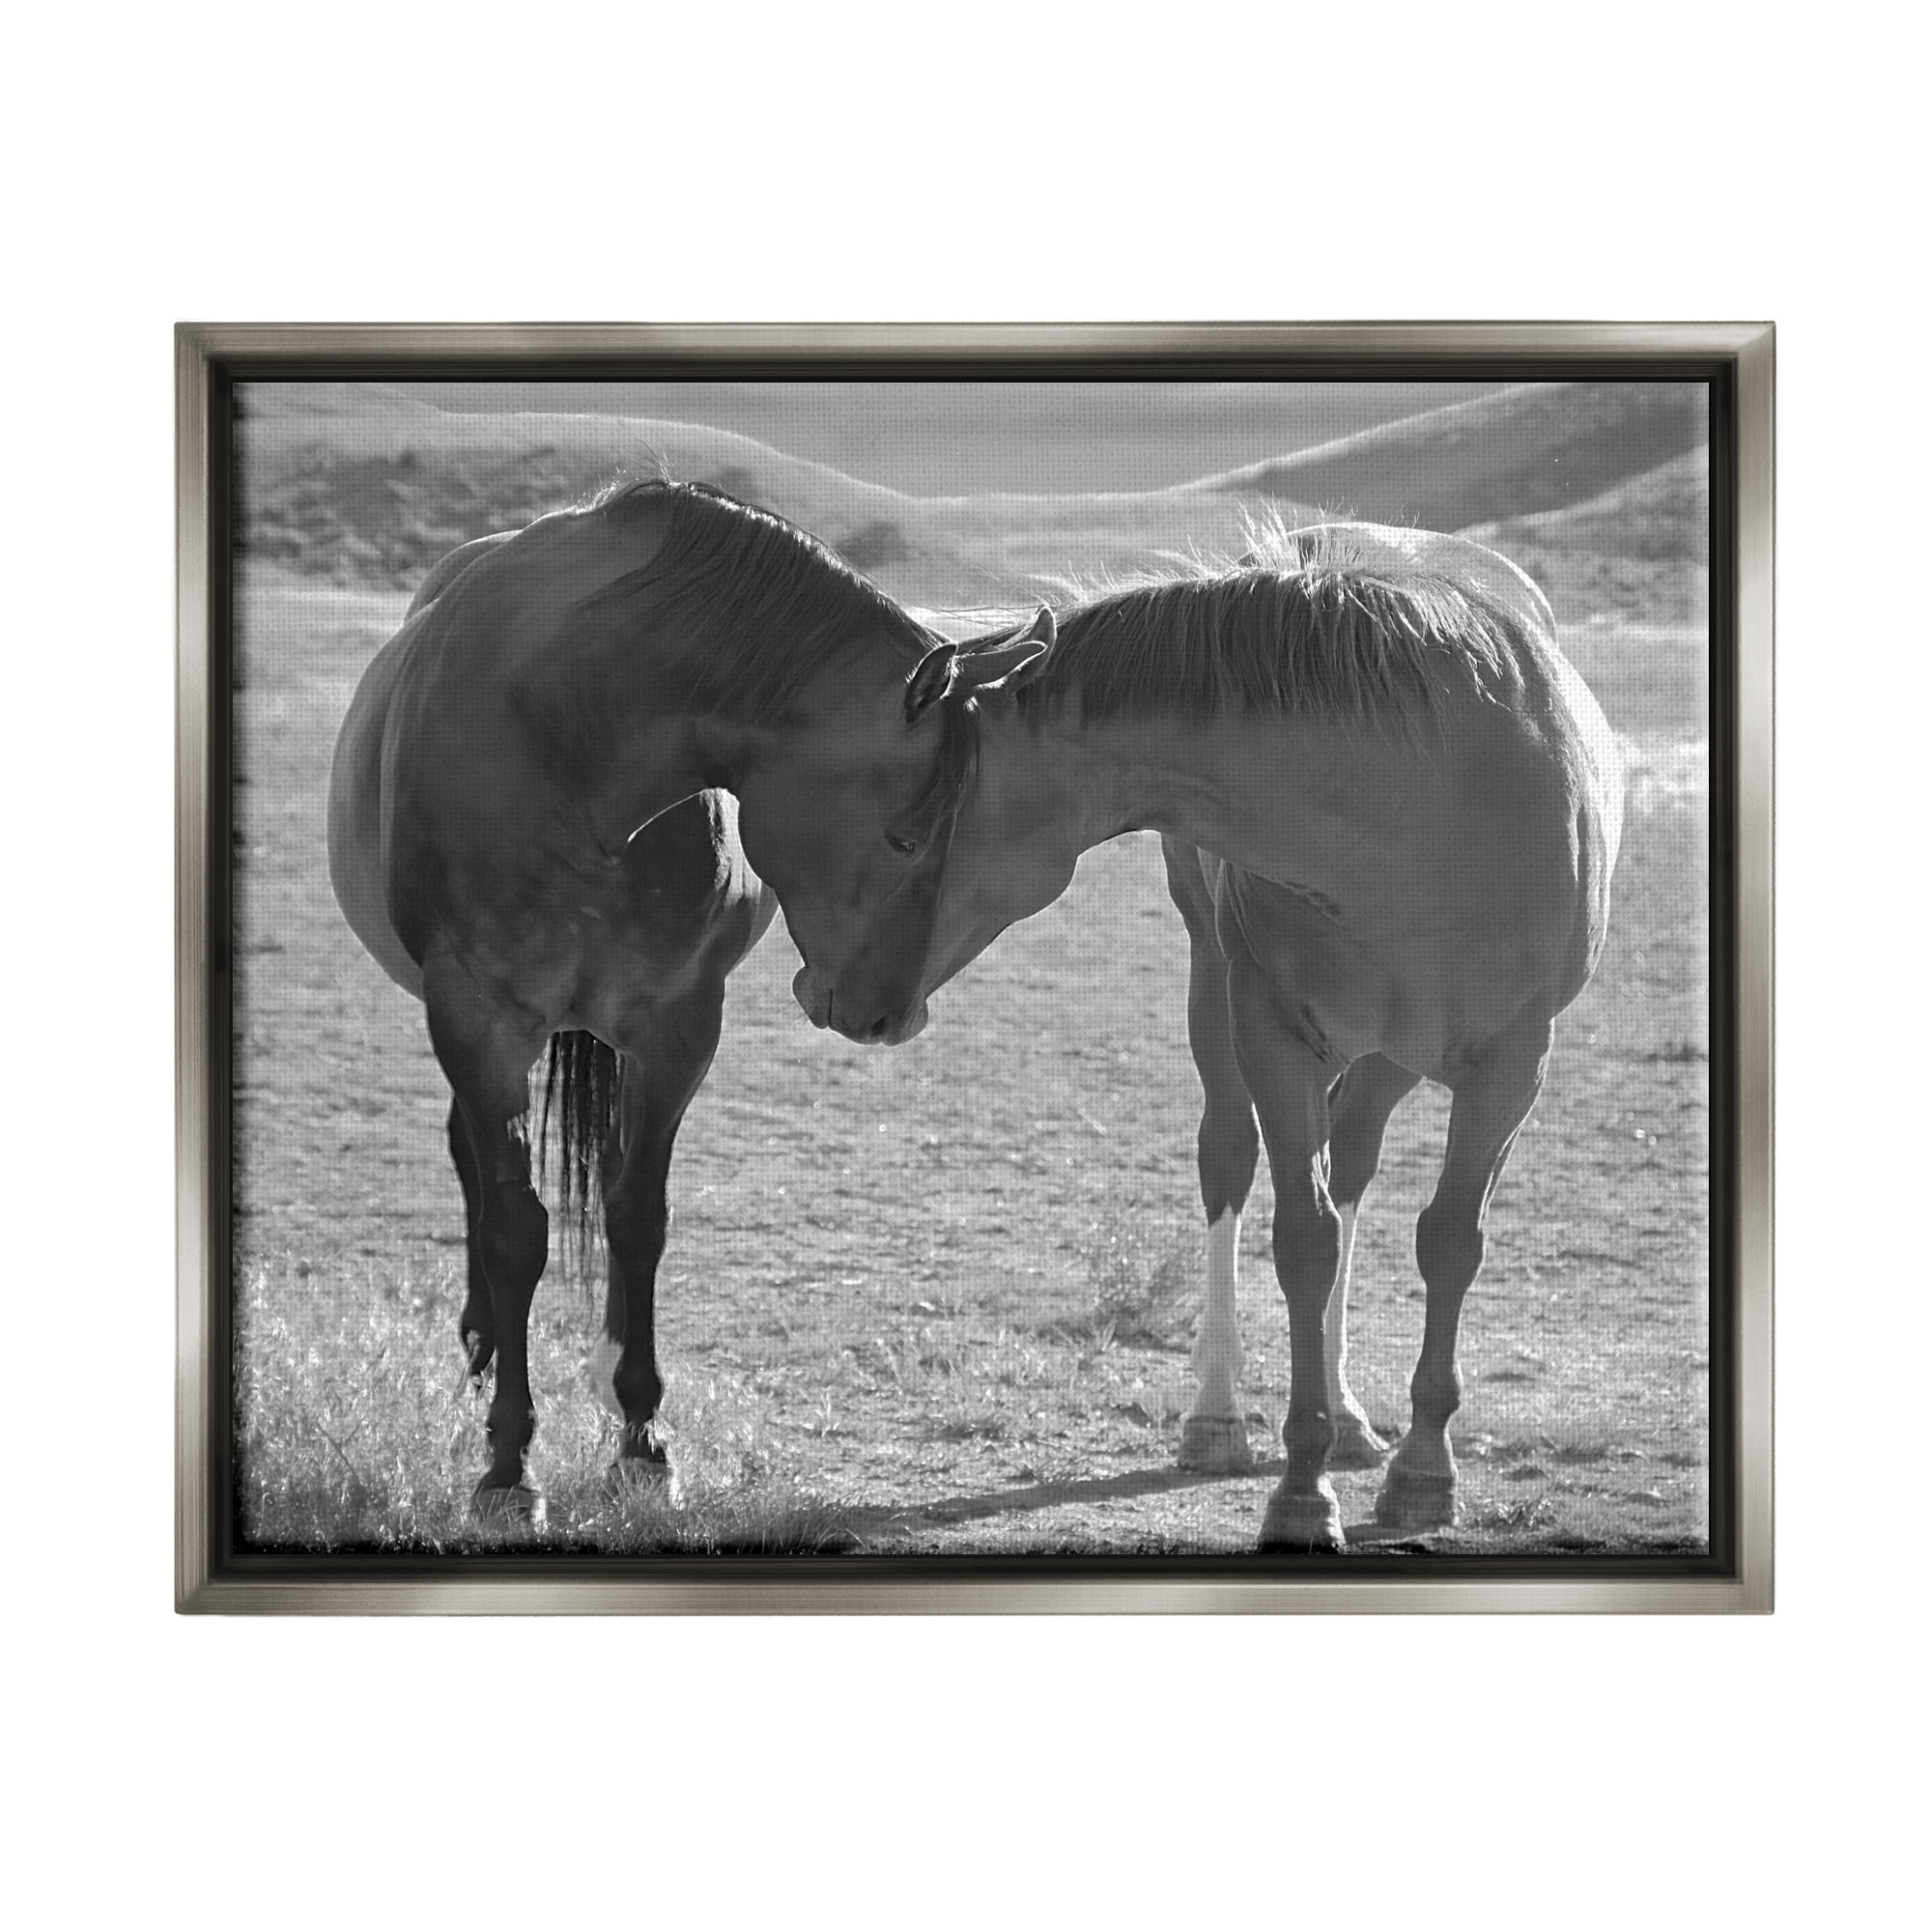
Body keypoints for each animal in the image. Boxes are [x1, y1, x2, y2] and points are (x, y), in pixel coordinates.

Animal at [326, 478, 1042, 1514]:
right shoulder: (476, 1018)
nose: (889, 1015)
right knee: (473, 1164)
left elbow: (638, 1215)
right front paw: (507, 1463)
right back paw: (482, 1341)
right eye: (908, 834)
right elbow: (515, 1229)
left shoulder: (675, 1026)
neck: (569, 738)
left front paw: (640, 1438)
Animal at [802, 521, 1625, 1553]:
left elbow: (1446, 1242)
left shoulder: (1513, 1063)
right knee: (1232, 1159)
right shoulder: (1270, 1031)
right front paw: (1303, 1494)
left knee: (1353, 1163)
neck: (1420, 800)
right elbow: (1303, 1241)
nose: (823, 991)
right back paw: (1219, 1417)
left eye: (904, 832)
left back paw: (1351, 1417)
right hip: (1219, 991)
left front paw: (1423, 1472)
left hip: (1392, 1054)